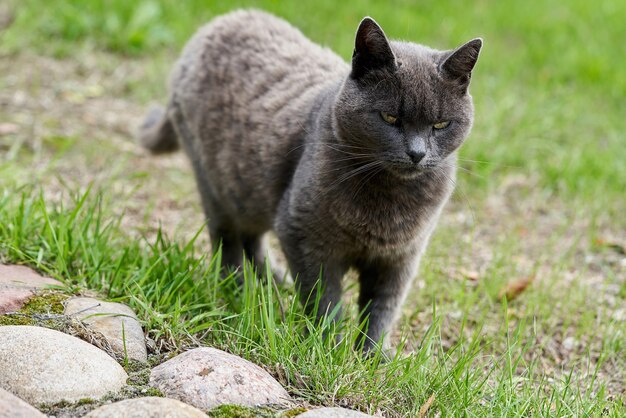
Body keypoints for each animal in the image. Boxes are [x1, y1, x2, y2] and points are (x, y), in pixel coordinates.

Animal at [141, 9, 480, 352]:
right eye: (390, 118)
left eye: (441, 124)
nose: (417, 153)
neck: (390, 199)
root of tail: (222, 21)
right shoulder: (303, 234)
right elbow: (324, 299)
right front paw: (328, 347)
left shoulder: (400, 257)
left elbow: (382, 307)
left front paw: (373, 355)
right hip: (216, 185)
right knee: (227, 239)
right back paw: (238, 290)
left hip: (250, 190)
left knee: (252, 236)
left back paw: (272, 283)